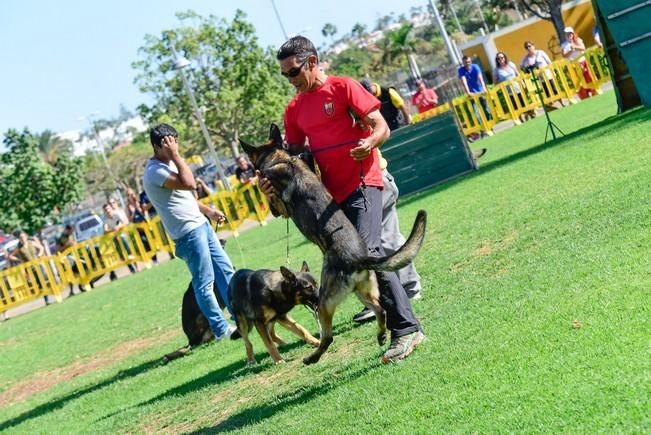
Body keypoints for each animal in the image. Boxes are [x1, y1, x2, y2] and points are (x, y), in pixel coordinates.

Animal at [239, 124, 428, 366]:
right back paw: (380, 335)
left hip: (324, 302)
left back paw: (312, 358)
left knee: (327, 336)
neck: (281, 157)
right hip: (362, 291)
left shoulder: (278, 199)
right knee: (381, 309)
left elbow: (273, 201)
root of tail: (357, 257)